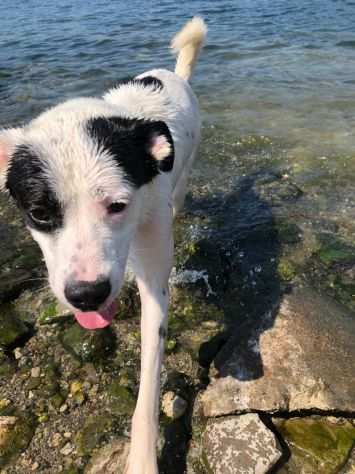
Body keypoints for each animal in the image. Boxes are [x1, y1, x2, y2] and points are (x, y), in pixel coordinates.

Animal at [0, 17, 207, 474]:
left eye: (118, 205)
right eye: (39, 212)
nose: (86, 295)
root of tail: (173, 75)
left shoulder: (154, 273)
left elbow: (149, 382)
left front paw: (143, 459)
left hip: (185, 174)